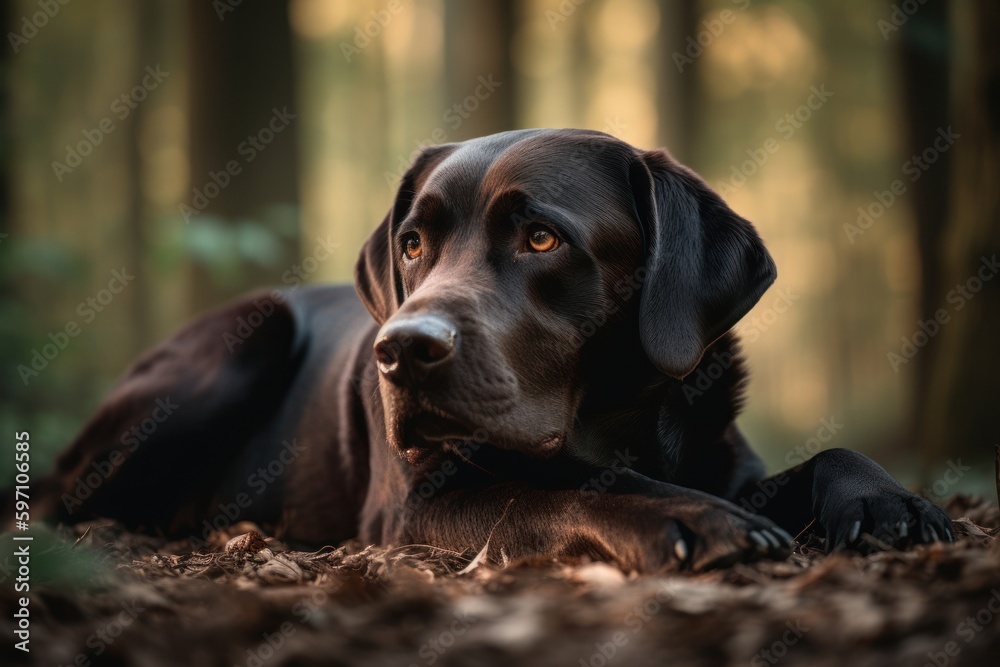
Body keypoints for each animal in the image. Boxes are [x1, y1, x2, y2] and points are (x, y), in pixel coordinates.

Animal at [25, 130, 952, 576]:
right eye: (411, 244)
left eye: (542, 237)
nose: (402, 349)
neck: (613, 428)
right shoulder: (415, 509)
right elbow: (552, 494)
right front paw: (692, 518)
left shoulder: (720, 454)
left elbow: (824, 457)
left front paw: (887, 501)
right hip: (247, 334)